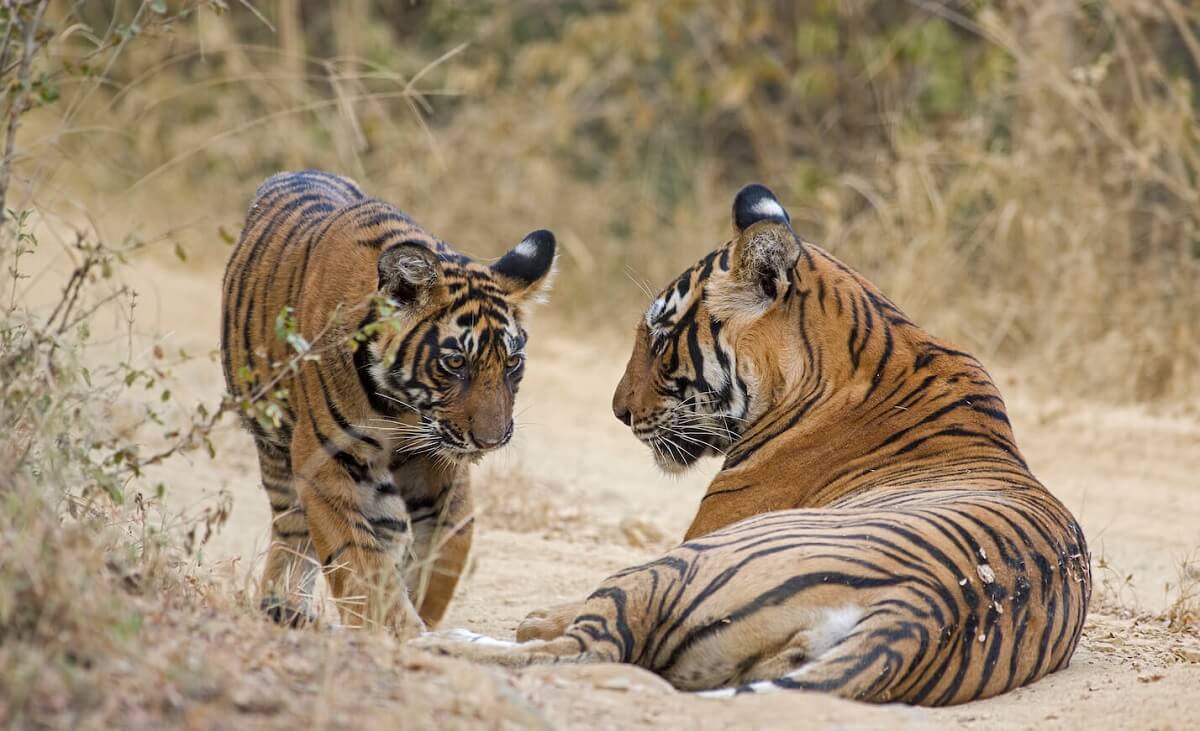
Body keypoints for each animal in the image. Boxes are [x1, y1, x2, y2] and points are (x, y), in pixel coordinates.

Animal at [222, 168, 556, 633]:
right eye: (455, 363)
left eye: (512, 363)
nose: (490, 441)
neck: (401, 408)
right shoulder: (324, 461)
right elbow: (358, 559)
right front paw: (398, 629)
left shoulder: (437, 465)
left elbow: (449, 546)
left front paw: (422, 616)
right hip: (273, 443)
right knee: (292, 529)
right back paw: (283, 607)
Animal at [410, 181, 1089, 700]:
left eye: (661, 338)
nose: (618, 412)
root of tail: (919, 613)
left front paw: (533, 617)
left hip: (673, 566)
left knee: (584, 647)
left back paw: (441, 641)